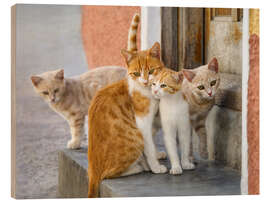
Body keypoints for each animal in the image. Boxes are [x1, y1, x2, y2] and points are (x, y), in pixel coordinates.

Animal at [87, 40, 168, 197]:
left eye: (151, 71)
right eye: (136, 73)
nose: (145, 81)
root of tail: (93, 170)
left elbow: (152, 143)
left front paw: (157, 154)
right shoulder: (143, 123)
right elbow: (149, 146)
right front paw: (155, 166)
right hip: (136, 137)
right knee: (107, 175)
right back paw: (140, 167)